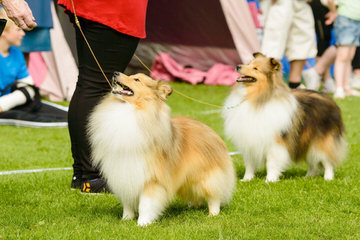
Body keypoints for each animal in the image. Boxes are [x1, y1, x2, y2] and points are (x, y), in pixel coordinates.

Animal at [87, 72, 236, 226]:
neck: (133, 110)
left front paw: (142, 223)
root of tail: (212, 131)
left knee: (214, 195)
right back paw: (192, 206)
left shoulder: (151, 178)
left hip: (205, 175)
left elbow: (145, 204)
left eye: (136, 79)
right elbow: (127, 202)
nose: (116, 73)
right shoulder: (124, 173)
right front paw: (126, 219)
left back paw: (213, 214)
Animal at [222, 53, 346, 182]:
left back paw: (328, 178)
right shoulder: (249, 141)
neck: (256, 98)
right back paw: (308, 177)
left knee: (327, 160)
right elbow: (249, 164)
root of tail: (331, 101)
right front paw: (247, 179)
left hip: (321, 141)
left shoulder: (274, 142)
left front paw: (270, 180)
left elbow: (271, 163)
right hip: (305, 140)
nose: (237, 66)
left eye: (255, 68)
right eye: (248, 64)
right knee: (312, 162)